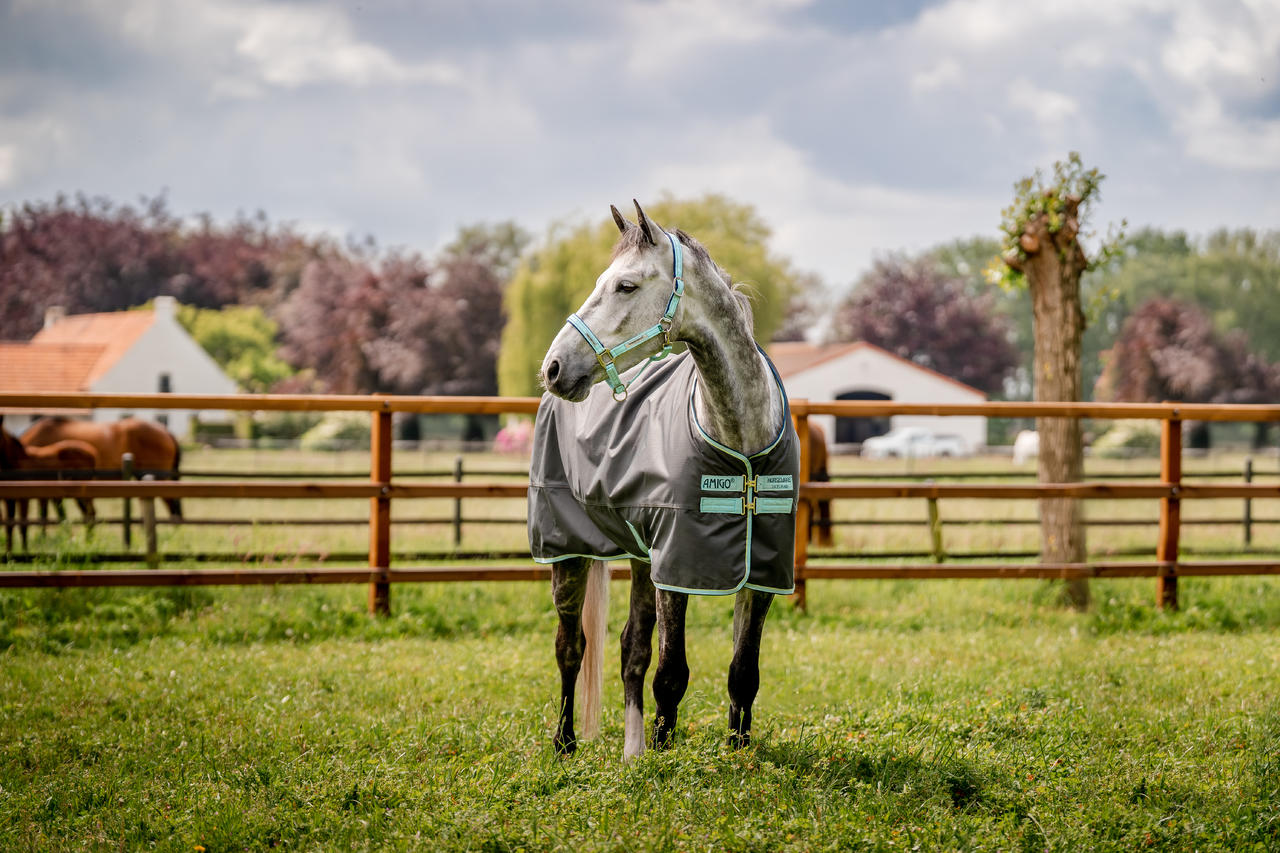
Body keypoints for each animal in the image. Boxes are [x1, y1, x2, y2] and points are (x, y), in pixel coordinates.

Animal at [1, 416, 99, 553]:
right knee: (86, 514)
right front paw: (9, 552)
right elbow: (9, 525)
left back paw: (89, 541)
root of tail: (92, 451)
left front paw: (25, 551)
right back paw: (88, 540)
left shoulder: (24, 498)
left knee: (91, 513)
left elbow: (23, 524)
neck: (17, 462)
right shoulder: (8, 499)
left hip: (83, 492)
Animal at [531, 201, 799, 758]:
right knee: (571, 647)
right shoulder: (678, 564)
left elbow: (743, 673)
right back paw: (565, 744)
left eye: (626, 286)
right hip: (565, 551)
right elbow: (671, 673)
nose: (554, 367)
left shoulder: (760, 569)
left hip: (639, 558)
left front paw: (737, 754)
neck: (741, 441)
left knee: (630, 648)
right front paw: (663, 755)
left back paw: (631, 752)